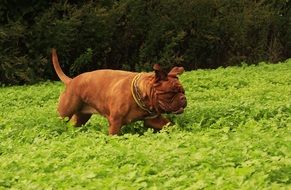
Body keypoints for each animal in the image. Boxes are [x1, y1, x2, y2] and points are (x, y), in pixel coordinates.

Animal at [52, 49, 187, 135]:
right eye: (170, 93)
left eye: (183, 92)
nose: (183, 98)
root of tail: (71, 81)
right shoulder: (115, 122)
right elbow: (114, 136)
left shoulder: (154, 120)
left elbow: (169, 125)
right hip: (65, 113)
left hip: (81, 117)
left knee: (73, 125)